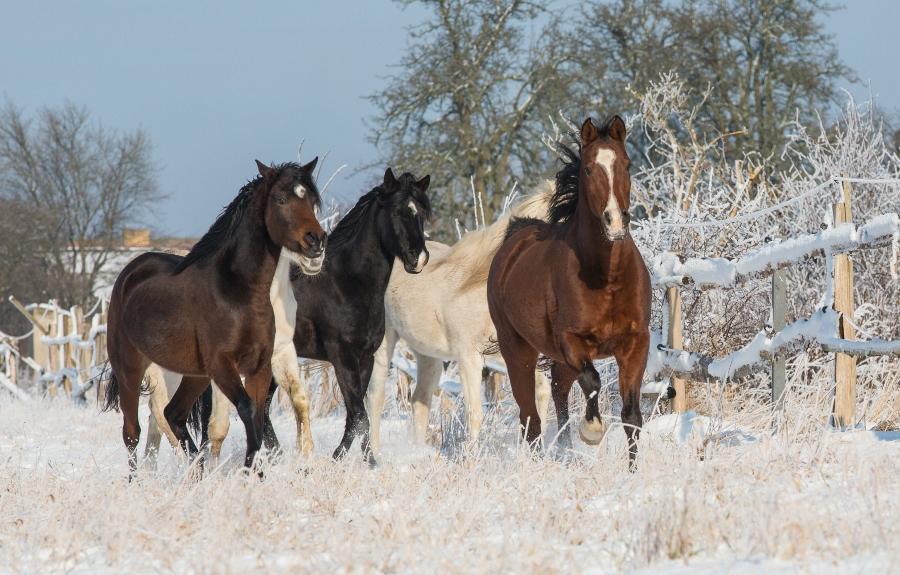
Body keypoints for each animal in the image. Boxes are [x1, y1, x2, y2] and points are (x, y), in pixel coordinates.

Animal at [105, 158, 326, 472]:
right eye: (281, 199)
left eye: (310, 201)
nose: (316, 242)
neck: (238, 292)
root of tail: (130, 272)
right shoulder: (224, 366)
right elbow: (241, 412)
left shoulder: (262, 363)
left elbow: (260, 414)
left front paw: (256, 471)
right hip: (132, 369)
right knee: (134, 431)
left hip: (194, 375)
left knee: (172, 414)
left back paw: (196, 471)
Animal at [207, 169, 432, 466]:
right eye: (397, 211)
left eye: (422, 212)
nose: (419, 258)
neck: (346, 282)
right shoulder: (342, 357)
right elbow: (359, 415)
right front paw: (353, 462)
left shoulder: (365, 358)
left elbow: (355, 416)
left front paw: (354, 460)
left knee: (262, 409)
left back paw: (278, 457)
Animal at [364, 187, 552, 452]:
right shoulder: (468, 357)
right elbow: (475, 413)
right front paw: (471, 458)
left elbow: (538, 396)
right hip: (384, 344)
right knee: (376, 398)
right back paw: (374, 454)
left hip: (428, 355)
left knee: (419, 401)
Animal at [488, 116, 652, 464]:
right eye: (588, 169)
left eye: (627, 164)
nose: (616, 222)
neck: (607, 278)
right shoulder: (572, 341)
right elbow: (592, 380)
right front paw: (591, 431)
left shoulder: (635, 343)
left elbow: (632, 415)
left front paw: (634, 470)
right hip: (518, 351)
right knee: (531, 418)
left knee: (558, 392)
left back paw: (564, 447)